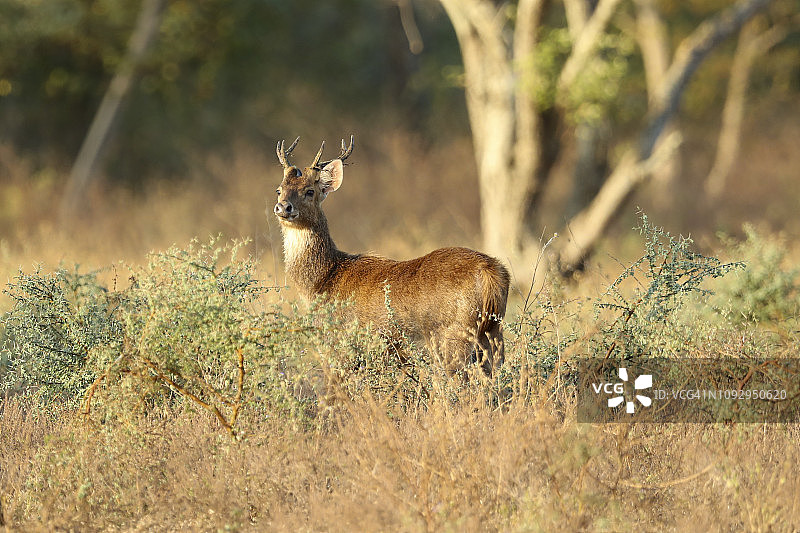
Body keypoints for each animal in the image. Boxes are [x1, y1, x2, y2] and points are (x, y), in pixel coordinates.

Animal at [272, 136, 510, 375]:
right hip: (493, 332)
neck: (323, 280)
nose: (283, 207)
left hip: (455, 333)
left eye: (310, 191)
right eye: (279, 189)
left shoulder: (339, 344)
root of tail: (491, 272)